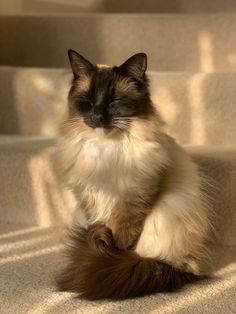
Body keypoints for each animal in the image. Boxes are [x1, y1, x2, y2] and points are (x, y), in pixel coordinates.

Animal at [55, 49, 212, 300]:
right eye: (88, 102)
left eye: (114, 102)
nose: (97, 117)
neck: (104, 149)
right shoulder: (89, 196)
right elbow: (100, 224)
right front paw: (102, 249)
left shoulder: (135, 195)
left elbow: (122, 237)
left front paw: (108, 254)